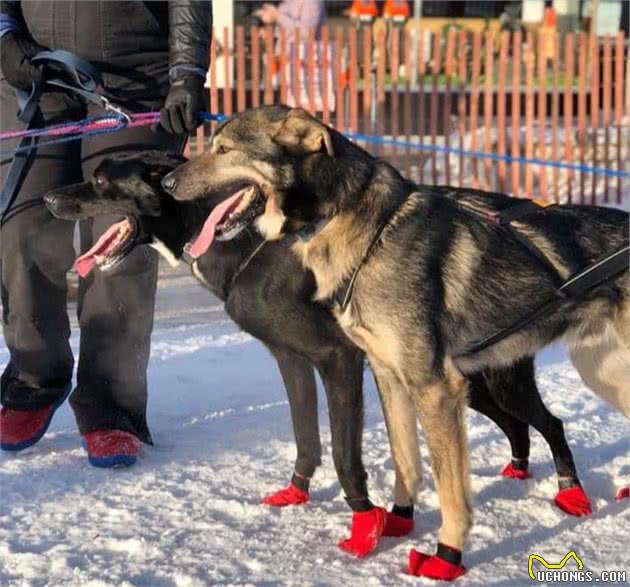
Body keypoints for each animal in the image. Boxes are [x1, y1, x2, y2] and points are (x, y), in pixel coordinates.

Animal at [164, 105, 630, 580]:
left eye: (224, 149)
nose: (167, 181)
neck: (360, 225)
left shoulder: (434, 389)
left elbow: (449, 489)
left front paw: (447, 556)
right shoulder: (388, 377)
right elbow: (404, 459)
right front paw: (397, 519)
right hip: (601, 373)